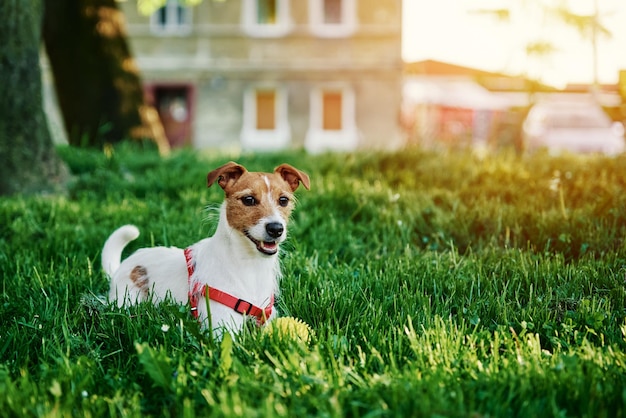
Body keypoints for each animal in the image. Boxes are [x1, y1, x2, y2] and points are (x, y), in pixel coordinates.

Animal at [99, 162, 310, 334]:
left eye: (283, 200)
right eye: (249, 200)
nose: (276, 229)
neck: (250, 265)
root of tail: (123, 266)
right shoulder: (224, 329)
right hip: (127, 300)